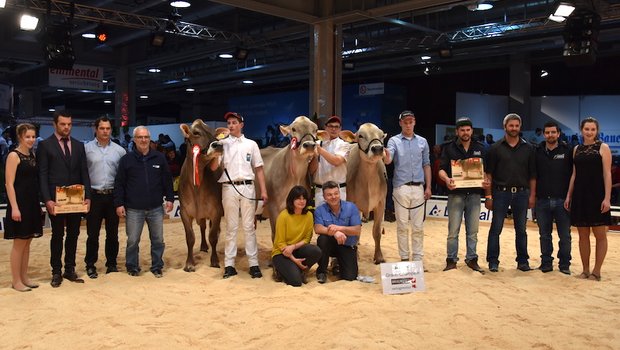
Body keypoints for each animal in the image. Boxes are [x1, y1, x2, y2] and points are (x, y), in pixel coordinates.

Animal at [179, 120, 230, 270]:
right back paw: (203, 246)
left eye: (215, 134)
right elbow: (190, 238)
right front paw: (189, 264)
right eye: (196, 133)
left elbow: (213, 236)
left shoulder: (216, 210)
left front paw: (214, 261)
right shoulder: (184, 211)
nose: (218, 145)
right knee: (202, 227)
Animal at [344, 122, 388, 262]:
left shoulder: (381, 203)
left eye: (381, 135)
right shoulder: (351, 203)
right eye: (361, 136)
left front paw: (379, 256)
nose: (378, 148)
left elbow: (377, 231)